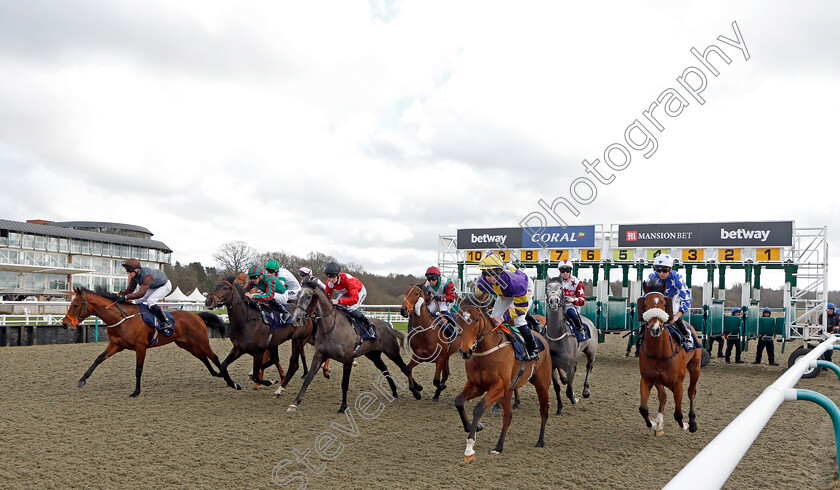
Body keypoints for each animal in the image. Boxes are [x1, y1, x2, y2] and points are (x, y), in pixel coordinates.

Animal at [61, 288, 240, 398]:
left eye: (75, 305)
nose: (64, 324)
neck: (122, 318)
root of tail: (196, 316)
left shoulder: (141, 347)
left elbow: (138, 369)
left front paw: (136, 391)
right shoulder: (116, 345)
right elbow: (98, 359)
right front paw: (82, 379)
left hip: (201, 342)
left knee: (215, 357)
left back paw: (232, 383)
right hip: (187, 344)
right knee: (203, 358)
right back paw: (217, 374)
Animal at [288, 278, 420, 412]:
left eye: (308, 296)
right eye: (297, 296)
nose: (296, 319)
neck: (331, 326)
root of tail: (388, 326)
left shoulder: (348, 358)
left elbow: (344, 383)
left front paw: (343, 406)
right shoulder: (320, 354)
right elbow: (308, 378)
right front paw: (295, 402)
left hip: (392, 351)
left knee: (404, 367)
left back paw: (416, 391)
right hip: (373, 355)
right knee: (385, 369)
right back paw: (396, 390)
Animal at [452, 294, 552, 464]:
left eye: (476, 320)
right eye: (458, 319)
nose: (466, 352)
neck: (486, 350)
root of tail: (541, 337)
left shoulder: (498, 386)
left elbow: (479, 408)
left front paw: (470, 448)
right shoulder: (477, 385)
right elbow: (459, 401)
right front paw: (476, 427)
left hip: (542, 385)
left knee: (544, 411)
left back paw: (540, 441)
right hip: (509, 390)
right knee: (508, 417)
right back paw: (498, 447)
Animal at [544, 282, 596, 416]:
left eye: (560, 287)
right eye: (547, 288)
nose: (553, 301)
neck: (557, 338)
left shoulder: (570, 366)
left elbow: (568, 391)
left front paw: (575, 398)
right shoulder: (552, 366)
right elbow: (557, 387)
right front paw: (559, 409)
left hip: (591, 352)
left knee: (589, 367)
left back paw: (586, 391)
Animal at [636, 280, 704, 436]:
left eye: (664, 304)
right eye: (645, 305)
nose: (655, 328)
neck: (659, 353)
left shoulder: (677, 384)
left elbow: (678, 414)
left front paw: (685, 425)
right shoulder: (647, 379)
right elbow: (643, 409)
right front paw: (655, 423)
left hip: (695, 367)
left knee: (691, 391)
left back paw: (692, 422)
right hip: (658, 379)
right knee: (663, 396)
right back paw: (659, 424)